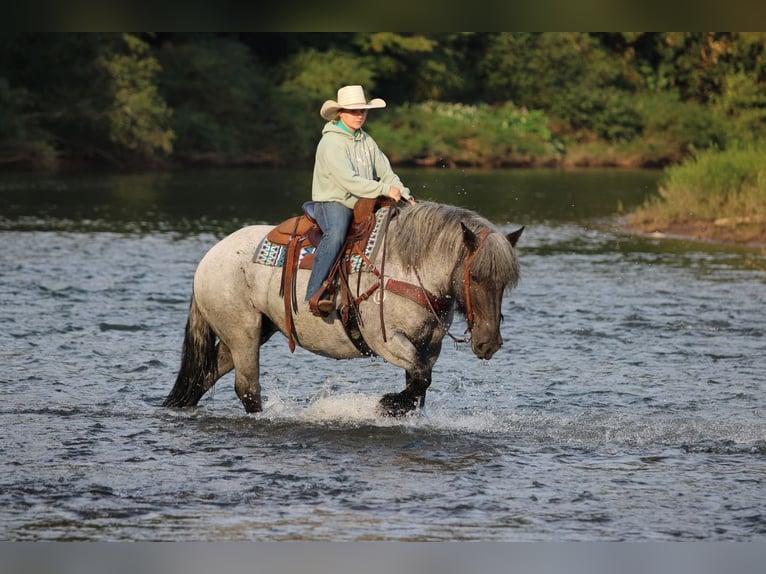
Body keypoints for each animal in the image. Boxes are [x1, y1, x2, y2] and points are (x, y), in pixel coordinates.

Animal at [163, 201, 523, 416]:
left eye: (505, 282)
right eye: (475, 276)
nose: (489, 343)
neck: (407, 269)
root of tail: (209, 257)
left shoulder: (427, 346)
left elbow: (419, 384)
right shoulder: (386, 341)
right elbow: (421, 380)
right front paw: (386, 405)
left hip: (250, 332)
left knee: (205, 375)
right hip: (243, 333)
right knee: (247, 390)